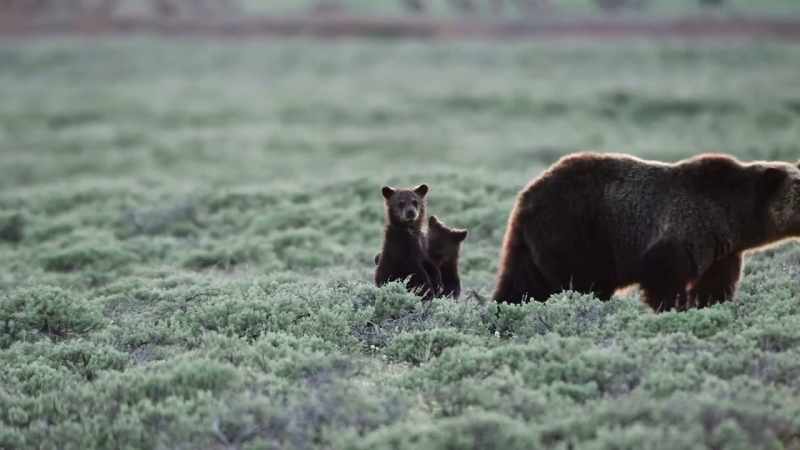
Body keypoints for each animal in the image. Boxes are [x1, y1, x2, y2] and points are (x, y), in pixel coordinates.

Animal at [492, 152, 800, 312]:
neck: (731, 212)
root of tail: (525, 197)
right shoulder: (684, 229)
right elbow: (663, 274)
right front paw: (673, 307)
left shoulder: (722, 248)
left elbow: (716, 282)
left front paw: (710, 303)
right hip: (575, 230)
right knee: (582, 280)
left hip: (533, 241)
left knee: (522, 280)